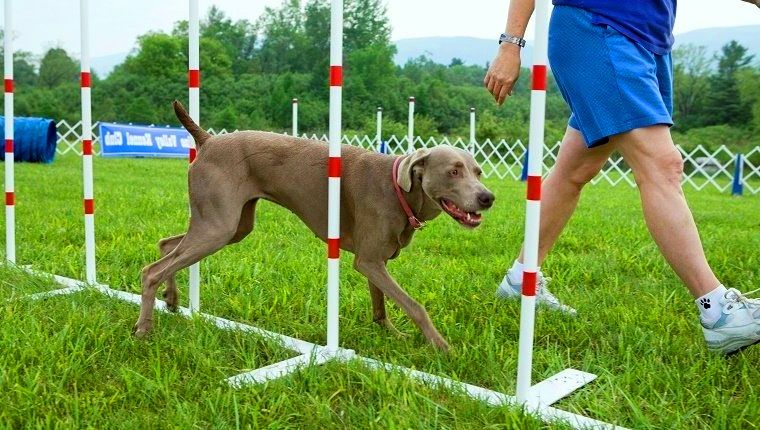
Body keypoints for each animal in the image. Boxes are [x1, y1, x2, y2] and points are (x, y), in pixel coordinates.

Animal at [134, 101, 496, 352]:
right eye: (453, 171)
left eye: (478, 171)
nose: (488, 197)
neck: (399, 189)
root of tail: (207, 140)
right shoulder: (368, 261)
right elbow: (415, 305)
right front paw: (441, 346)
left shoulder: (376, 260)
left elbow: (380, 303)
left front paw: (391, 333)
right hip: (218, 226)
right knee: (152, 270)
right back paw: (144, 328)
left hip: (232, 225)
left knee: (166, 246)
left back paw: (171, 299)